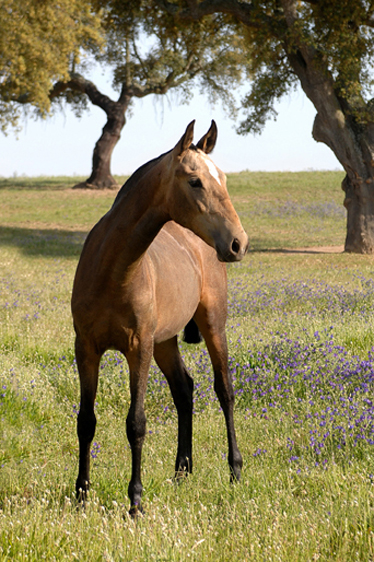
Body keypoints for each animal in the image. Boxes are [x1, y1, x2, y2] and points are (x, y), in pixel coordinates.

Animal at [72, 119, 250, 512]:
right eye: (195, 181)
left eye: (224, 179)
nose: (238, 243)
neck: (113, 271)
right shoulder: (86, 348)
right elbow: (86, 421)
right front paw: (80, 496)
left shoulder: (139, 348)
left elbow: (136, 423)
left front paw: (135, 501)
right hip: (166, 341)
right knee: (184, 389)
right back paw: (182, 471)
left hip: (212, 326)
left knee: (224, 390)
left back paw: (235, 470)